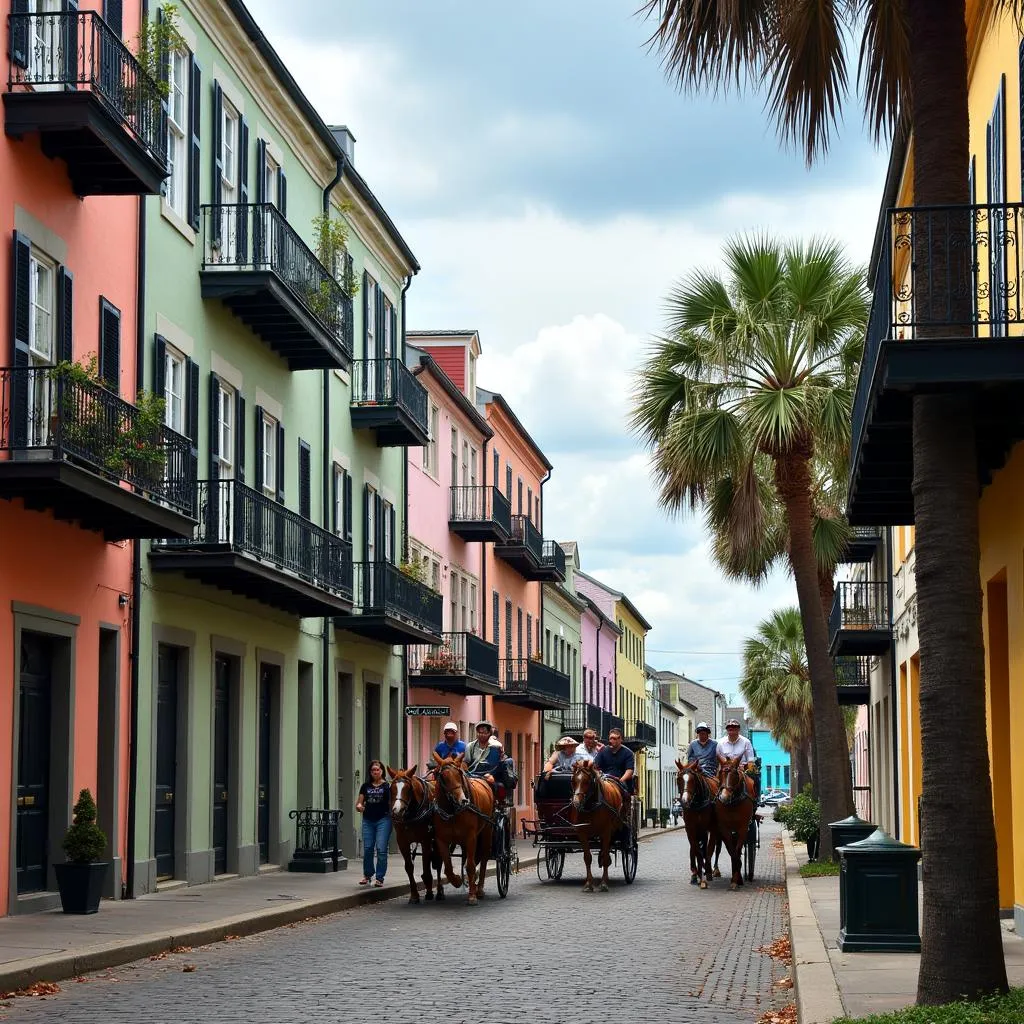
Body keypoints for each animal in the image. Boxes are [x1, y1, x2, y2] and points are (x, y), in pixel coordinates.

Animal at [385, 770, 446, 905]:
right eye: (391, 788)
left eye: (409, 789)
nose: (397, 810)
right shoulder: (402, 841)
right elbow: (409, 867)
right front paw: (414, 895)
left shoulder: (425, 840)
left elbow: (426, 867)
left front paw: (429, 892)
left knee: (439, 862)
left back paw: (439, 891)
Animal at [430, 753, 493, 905]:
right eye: (443, 777)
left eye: (459, 774)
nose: (463, 800)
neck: (453, 810)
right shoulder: (441, 840)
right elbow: (448, 867)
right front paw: (457, 880)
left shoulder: (471, 837)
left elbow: (470, 866)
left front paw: (472, 896)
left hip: (487, 831)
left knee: (483, 858)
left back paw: (479, 889)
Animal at [569, 761, 622, 897]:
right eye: (573, 781)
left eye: (587, 781)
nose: (576, 803)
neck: (590, 807)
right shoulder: (582, 833)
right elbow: (587, 858)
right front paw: (588, 884)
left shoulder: (606, 832)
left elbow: (605, 857)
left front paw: (603, 883)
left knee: (606, 852)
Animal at [675, 757, 724, 892]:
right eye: (679, 779)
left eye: (693, 780)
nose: (685, 801)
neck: (697, 803)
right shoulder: (691, 829)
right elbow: (696, 850)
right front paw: (699, 876)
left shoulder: (712, 828)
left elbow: (709, 849)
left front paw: (707, 872)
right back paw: (696, 873)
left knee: (716, 848)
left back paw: (714, 870)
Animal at [716, 757, 757, 892]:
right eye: (720, 773)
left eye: (735, 774)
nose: (724, 796)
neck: (732, 803)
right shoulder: (724, 829)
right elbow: (732, 852)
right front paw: (735, 880)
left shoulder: (743, 828)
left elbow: (737, 851)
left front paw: (737, 879)